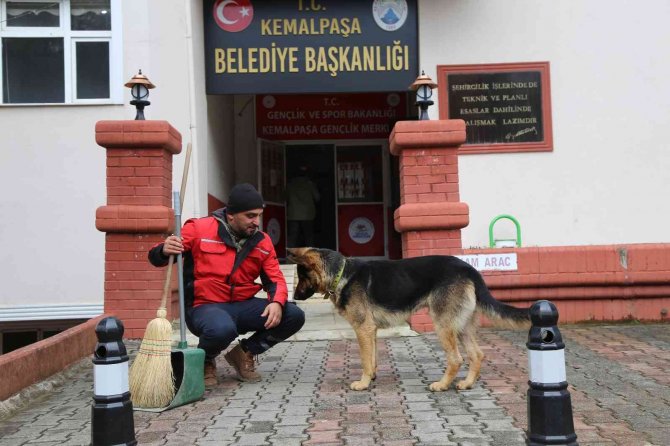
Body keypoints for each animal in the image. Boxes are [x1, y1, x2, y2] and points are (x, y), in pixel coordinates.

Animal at [286, 249, 532, 392]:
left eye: (302, 276)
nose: (294, 297)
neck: (342, 273)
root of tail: (470, 269)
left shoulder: (363, 329)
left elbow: (365, 360)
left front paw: (363, 383)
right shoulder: (371, 331)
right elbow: (372, 358)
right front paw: (371, 377)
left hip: (443, 324)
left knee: (456, 359)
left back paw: (442, 385)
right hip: (461, 325)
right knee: (477, 354)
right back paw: (467, 383)